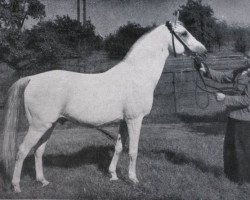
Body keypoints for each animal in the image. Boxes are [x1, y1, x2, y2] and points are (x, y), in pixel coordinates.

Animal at [1, 18, 205, 192]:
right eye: (184, 33)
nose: (203, 50)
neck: (137, 74)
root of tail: (31, 78)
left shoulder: (123, 121)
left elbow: (119, 147)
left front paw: (113, 175)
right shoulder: (134, 120)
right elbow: (133, 150)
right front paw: (133, 179)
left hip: (48, 125)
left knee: (38, 151)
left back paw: (42, 181)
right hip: (38, 125)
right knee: (22, 151)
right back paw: (16, 186)